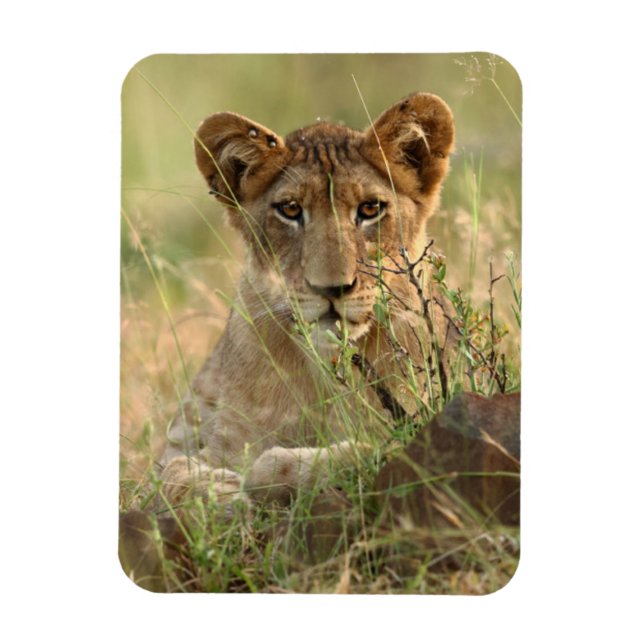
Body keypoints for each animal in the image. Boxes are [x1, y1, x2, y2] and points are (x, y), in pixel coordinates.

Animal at [160, 92, 455, 506]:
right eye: (290, 210)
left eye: (370, 209)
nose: (331, 289)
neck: (325, 372)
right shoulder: (220, 440)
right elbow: (168, 475)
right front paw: (219, 493)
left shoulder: (423, 420)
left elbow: (369, 450)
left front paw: (263, 474)